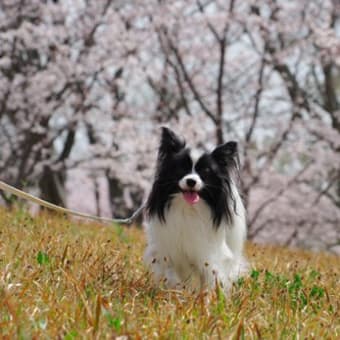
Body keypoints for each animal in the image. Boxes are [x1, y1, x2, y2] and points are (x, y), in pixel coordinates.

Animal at [143, 127, 247, 292]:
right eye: (181, 168)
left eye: (205, 171)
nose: (191, 181)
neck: (188, 209)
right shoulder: (165, 251)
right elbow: (171, 274)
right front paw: (176, 290)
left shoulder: (209, 256)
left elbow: (212, 278)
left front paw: (209, 297)